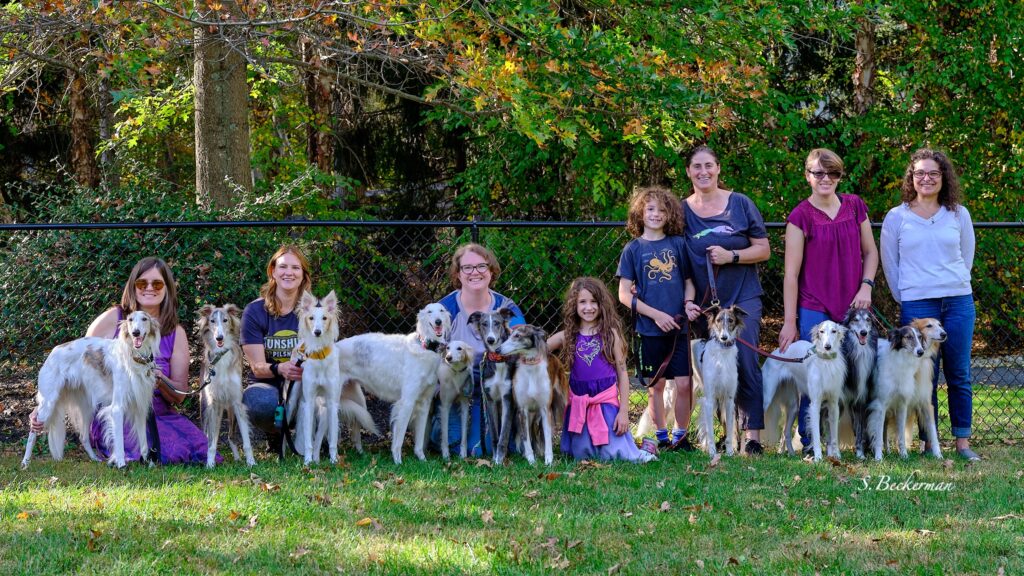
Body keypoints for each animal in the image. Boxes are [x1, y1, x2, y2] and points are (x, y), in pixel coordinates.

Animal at [22, 309, 159, 467]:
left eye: (144, 319)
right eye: (130, 320)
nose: (136, 333)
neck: (134, 357)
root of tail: (53, 352)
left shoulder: (140, 408)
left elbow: (144, 444)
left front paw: (148, 463)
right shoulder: (117, 408)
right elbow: (119, 443)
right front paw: (121, 464)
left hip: (86, 407)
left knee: (83, 437)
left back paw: (95, 458)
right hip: (48, 403)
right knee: (32, 432)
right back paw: (25, 462)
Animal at [195, 303, 253, 463]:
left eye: (225, 320)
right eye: (212, 321)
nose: (219, 337)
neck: (221, 356)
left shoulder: (237, 401)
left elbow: (246, 440)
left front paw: (251, 462)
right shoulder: (214, 403)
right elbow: (212, 443)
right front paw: (210, 464)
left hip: (230, 411)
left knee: (230, 436)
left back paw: (238, 458)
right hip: (206, 406)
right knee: (209, 434)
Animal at [337, 301, 450, 461]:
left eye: (441, 310)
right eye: (429, 312)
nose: (438, 321)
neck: (424, 348)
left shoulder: (424, 403)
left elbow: (420, 440)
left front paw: (422, 459)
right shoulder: (407, 402)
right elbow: (399, 438)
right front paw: (397, 461)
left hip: (357, 400)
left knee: (355, 432)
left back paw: (360, 453)